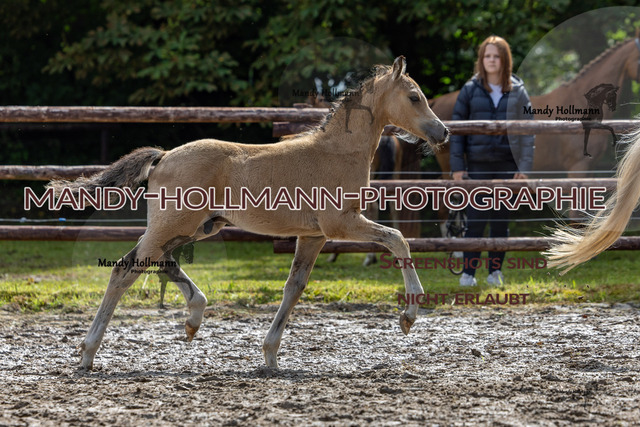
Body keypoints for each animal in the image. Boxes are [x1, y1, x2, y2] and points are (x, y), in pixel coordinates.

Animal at [47, 56, 449, 370]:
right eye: (414, 97)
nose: (443, 132)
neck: (337, 151)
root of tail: (163, 156)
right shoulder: (341, 224)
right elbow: (397, 240)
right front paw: (409, 316)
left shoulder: (313, 236)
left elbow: (294, 287)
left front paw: (270, 355)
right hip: (173, 224)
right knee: (124, 269)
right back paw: (88, 353)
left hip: (196, 227)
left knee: (154, 262)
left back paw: (193, 316)